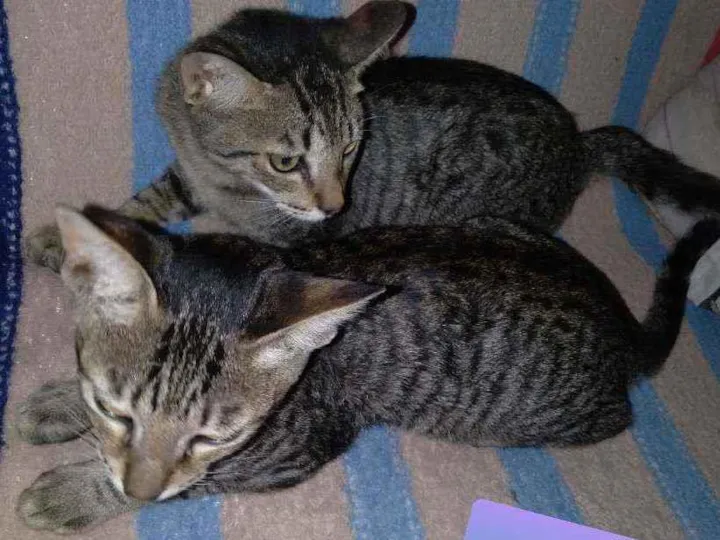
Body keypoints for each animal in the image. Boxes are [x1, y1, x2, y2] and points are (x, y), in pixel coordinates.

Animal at [15, 205, 719, 533]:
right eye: (114, 408)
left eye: (212, 436)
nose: (137, 491)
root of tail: (618, 321)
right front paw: (57, 404)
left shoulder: (296, 447)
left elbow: (196, 480)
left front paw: (74, 491)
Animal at [26, 1, 720, 271]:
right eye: (286, 161)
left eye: (351, 148)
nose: (337, 204)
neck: (228, 184)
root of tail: (579, 141)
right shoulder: (190, 173)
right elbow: (150, 199)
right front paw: (62, 235)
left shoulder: (291, 241)